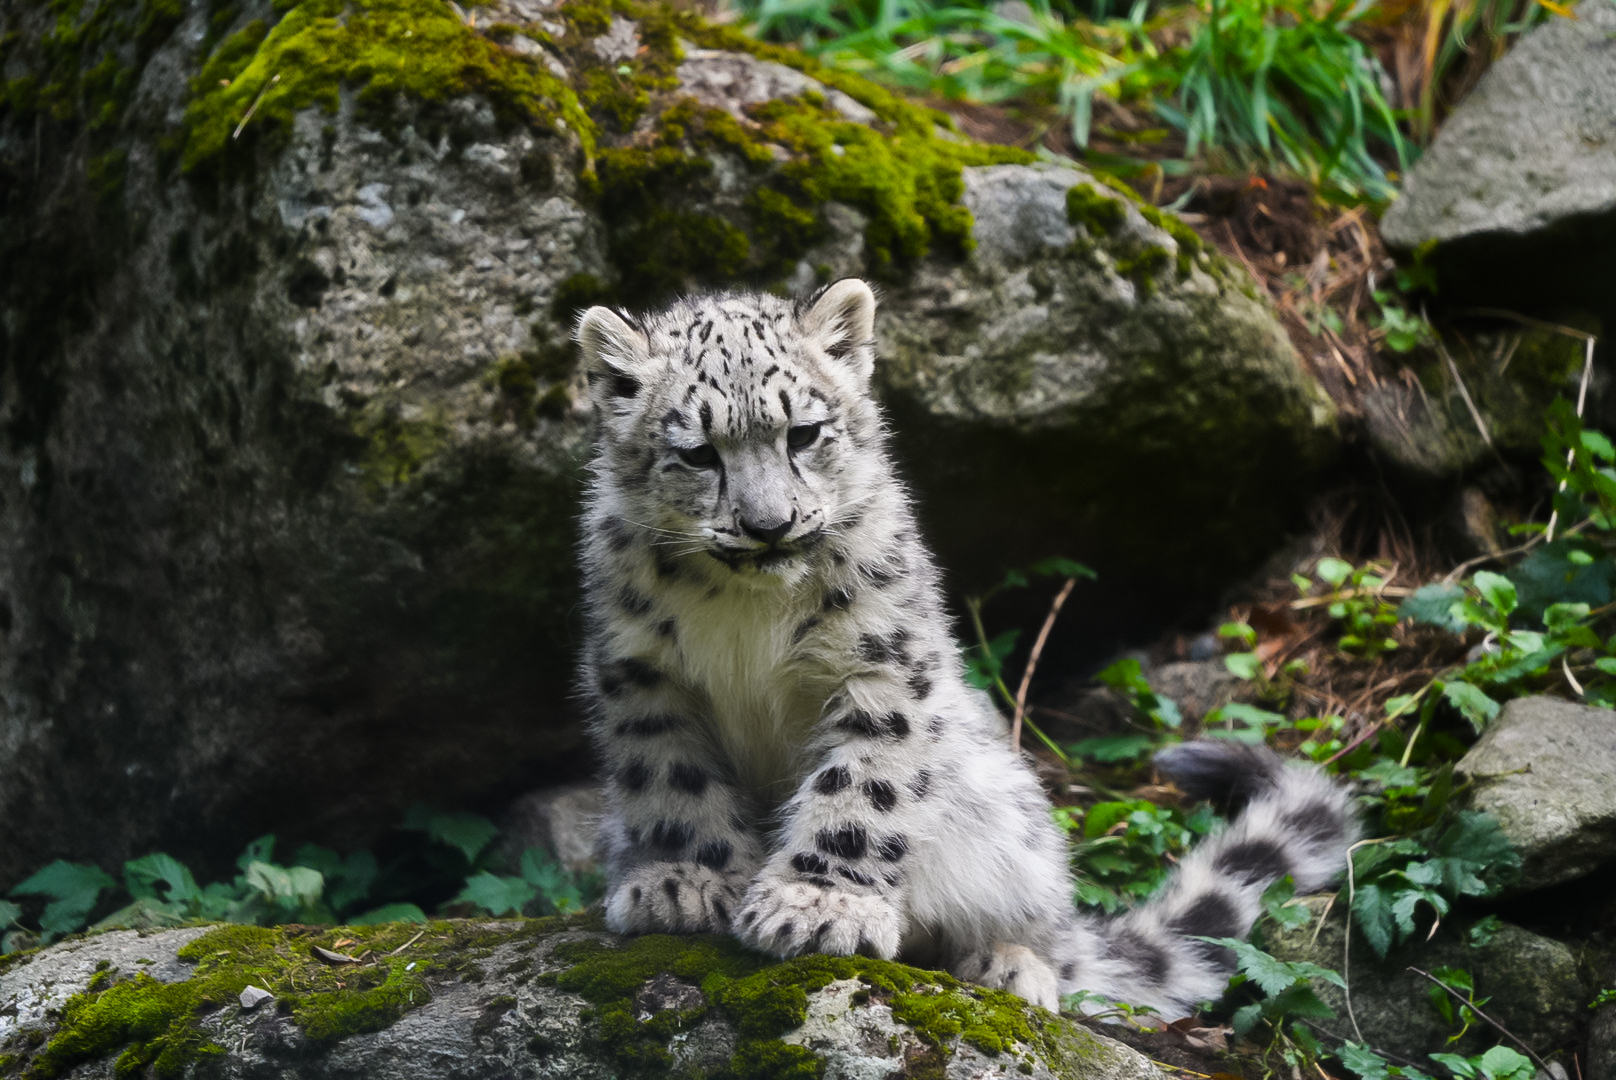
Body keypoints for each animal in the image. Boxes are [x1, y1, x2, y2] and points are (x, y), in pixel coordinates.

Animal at [573, 277, 1355, 1015]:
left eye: (803, 433)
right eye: (698, 453)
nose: (770, 526)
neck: (748, 611)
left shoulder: (880, 661)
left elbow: (863, 784)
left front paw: (820, 906)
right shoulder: (644, 674)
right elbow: (673, 781)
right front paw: (689, 881)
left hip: (1009, 822)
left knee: (1042, 931)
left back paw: (1009, 967)